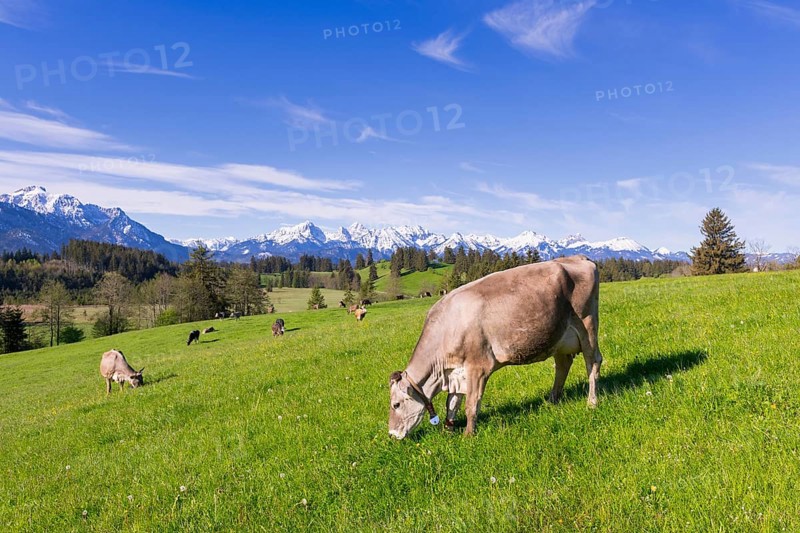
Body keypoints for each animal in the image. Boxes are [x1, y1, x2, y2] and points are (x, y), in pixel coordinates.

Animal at [388, 256, 602, 439]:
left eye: (396, 404)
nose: (391, 434)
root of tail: (579, 257)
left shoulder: (478, 367)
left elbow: (471, 404)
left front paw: (468, 435)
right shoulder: (456, 373)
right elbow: (452, 403)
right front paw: (448, 430)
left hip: (588, 325)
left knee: (593, 362)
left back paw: (591, 402)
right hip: (559, 337)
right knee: (563, 364)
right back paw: (552, 401)